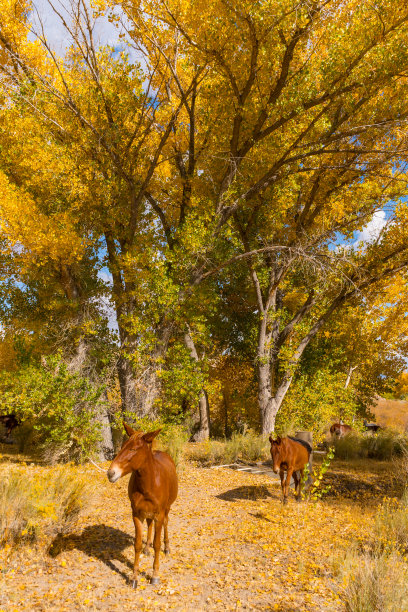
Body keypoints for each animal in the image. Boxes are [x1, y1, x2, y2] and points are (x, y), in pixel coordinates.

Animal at [107, 426, 178, 588]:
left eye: (133, 449)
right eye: (122, 446)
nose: (111, 473)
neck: (148, 484)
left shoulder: (159, 514)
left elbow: (157, 544)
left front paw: (155, 575)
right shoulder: (136, 514)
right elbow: (137, 544)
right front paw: (134, 577)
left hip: (167, 509)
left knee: (166, 523)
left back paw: (167, 548)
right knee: (149, 524)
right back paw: (147, 547)